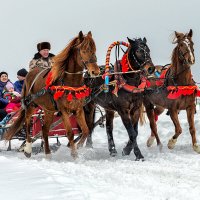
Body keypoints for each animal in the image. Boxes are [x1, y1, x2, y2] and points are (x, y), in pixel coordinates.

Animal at [4, 31, 101, 159]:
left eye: (94, 50)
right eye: (84, 51)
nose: (95, 72)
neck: (70, 82)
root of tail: (30, 74)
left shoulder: (78, 109)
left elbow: (85, 130)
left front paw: (78, 147)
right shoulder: (64, 110)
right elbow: (70, 133)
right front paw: (74, 154)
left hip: (48, 110)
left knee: (45, 129)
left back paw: (48, 153)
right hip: (30, 105)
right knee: (27, 123)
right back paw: (28, 149)